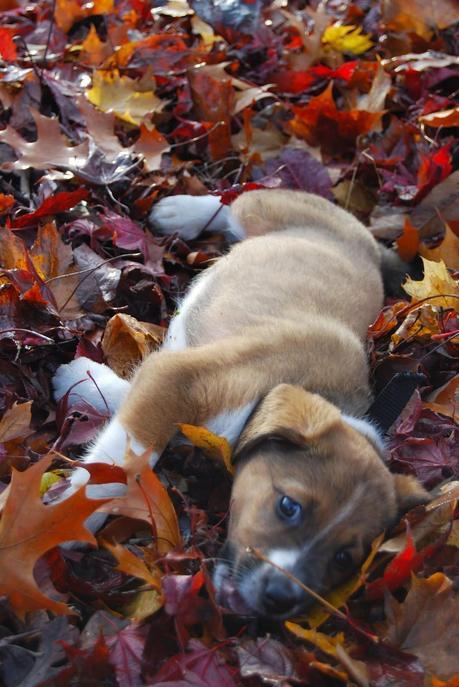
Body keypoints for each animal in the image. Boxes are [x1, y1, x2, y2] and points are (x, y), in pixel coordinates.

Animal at [54, 191, 432, 620]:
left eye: (343, 559)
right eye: (288, 506)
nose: (280, 599)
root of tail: (366, 239)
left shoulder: (169, 376)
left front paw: (81, 379)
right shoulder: (181, 378)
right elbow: (122, 463)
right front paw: (72, 516)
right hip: (265, 208)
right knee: (233, 202)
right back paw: (180, 212)